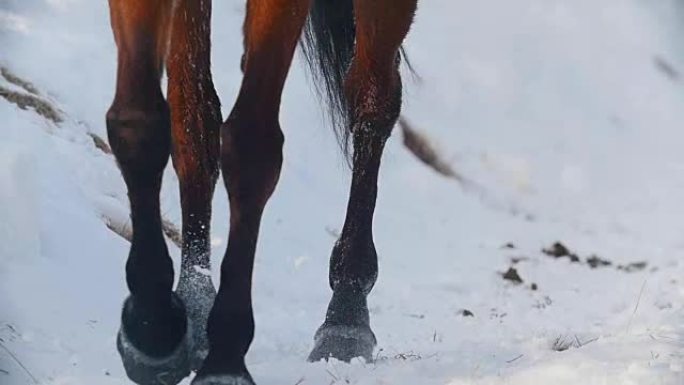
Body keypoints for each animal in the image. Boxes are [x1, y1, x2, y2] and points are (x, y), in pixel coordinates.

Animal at [106, 0, 416, 382]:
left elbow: (251, 149)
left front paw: (225, 358)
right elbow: (139, 123)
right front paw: (152, 326)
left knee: (373, 99)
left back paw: (346, 314)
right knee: (192, 112)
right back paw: (196, 300)